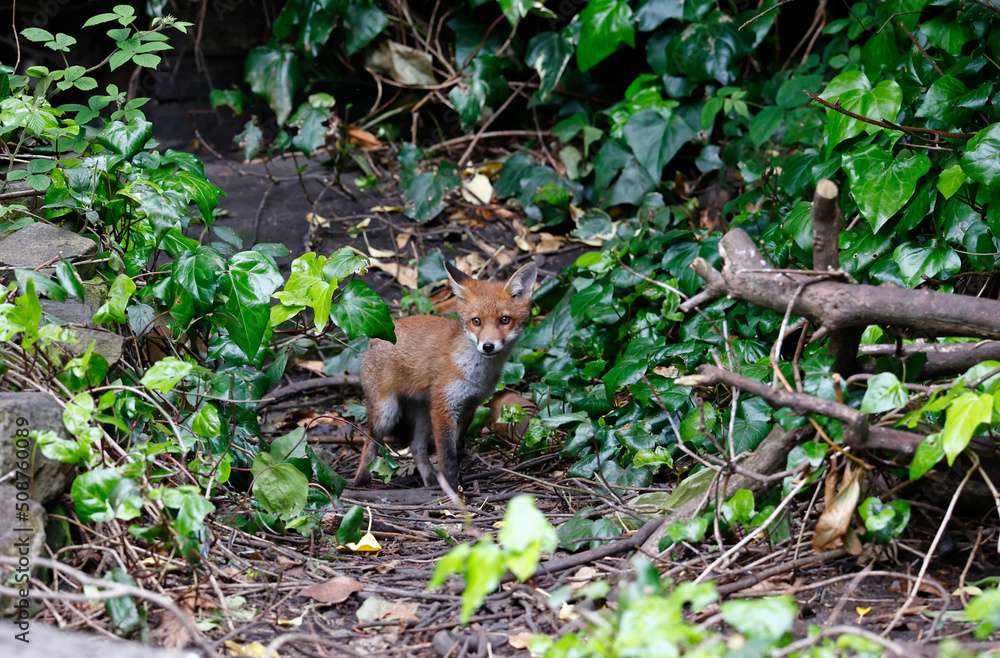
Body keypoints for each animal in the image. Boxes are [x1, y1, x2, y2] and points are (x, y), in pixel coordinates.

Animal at [353, 261, 538, 491]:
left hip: (423, 413)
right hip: (387, 413)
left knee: (416, 447)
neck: (475, 373)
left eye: (505, 320)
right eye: (476, 321)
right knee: (369, 440)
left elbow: (456, 446)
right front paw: (452, 489)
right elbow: (447, 457)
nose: (488, 346)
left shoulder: (469, 406)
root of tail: (373, 340)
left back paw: (430, 480)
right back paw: (361, 480)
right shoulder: (443, 408)